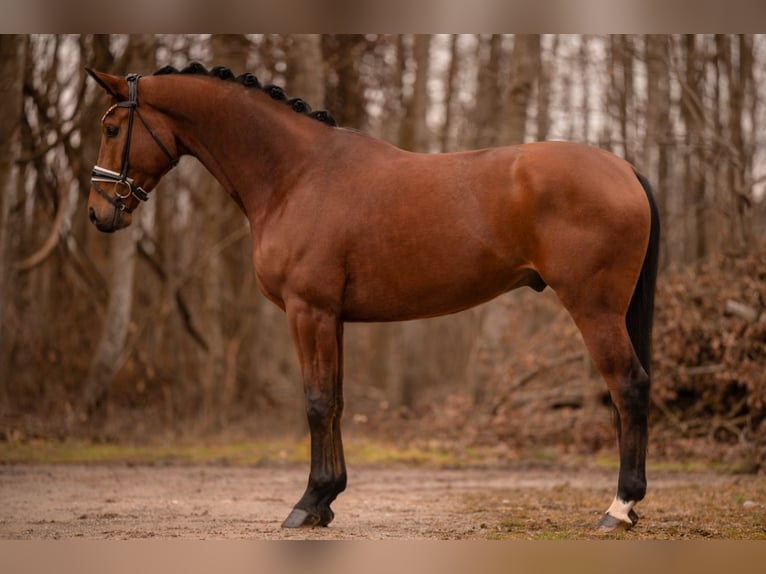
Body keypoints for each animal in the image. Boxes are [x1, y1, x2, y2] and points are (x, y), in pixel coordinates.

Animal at [84, 64, 660, 536]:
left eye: (112, 129)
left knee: (628, 387)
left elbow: (316, 403)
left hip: (594, 309)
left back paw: (618, 509)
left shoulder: (308, 311)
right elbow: (336, 402)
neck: (297, 175)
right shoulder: (332, 318)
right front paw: (327, 500)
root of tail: (625, 168)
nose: (98, 211)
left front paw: (307, 503)